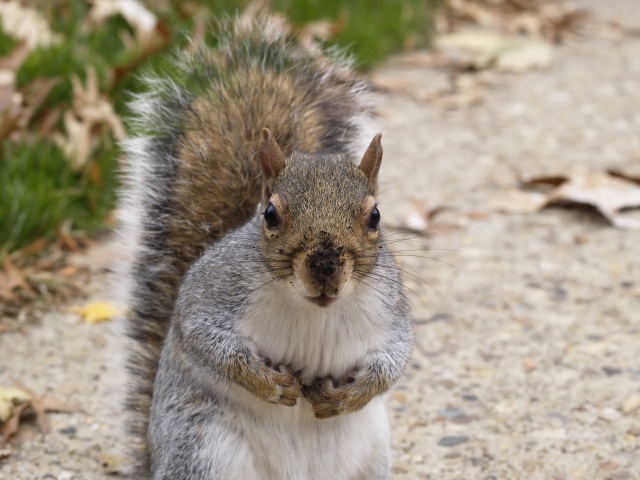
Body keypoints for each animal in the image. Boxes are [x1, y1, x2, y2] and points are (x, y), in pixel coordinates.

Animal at [117, 7, 412, 480]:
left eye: (375, 217)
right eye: (270, 215)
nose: (325, 267)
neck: (312, 309)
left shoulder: (391, 307)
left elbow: (394, 358)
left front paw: (351, 395)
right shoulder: (213, 293)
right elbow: (207, 340)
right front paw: (266, 382)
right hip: (204, 451)